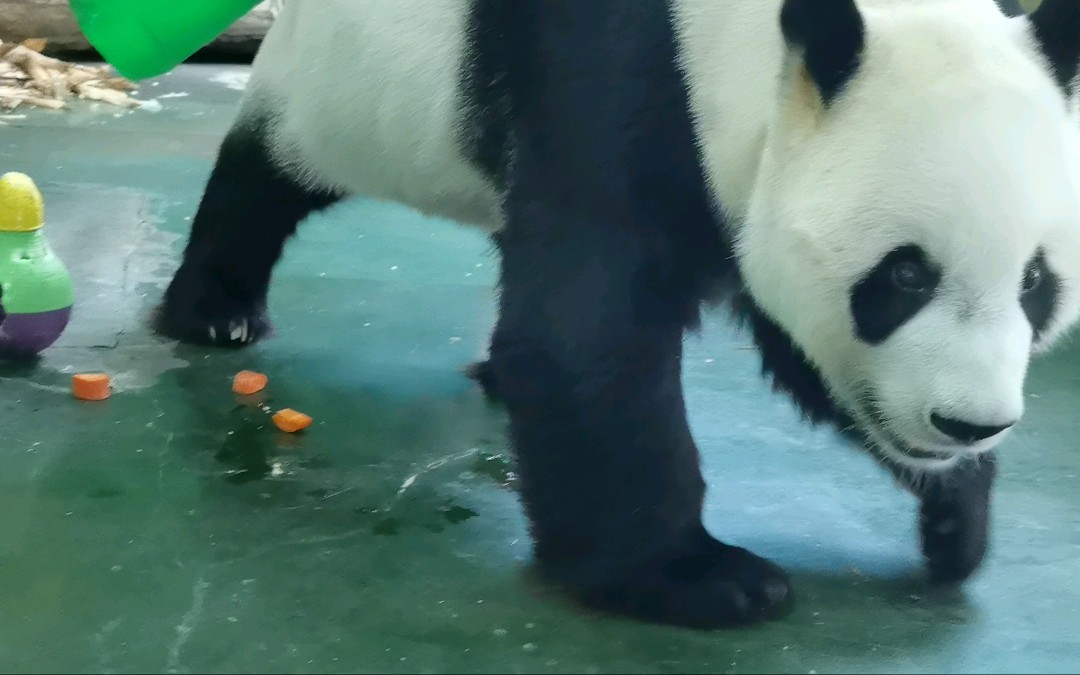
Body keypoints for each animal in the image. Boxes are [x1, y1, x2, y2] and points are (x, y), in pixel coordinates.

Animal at [156, 0, 1080, 630]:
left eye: (1036, 283)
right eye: (905, 274)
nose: (967, 422)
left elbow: (796, 348)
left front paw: (957, 516)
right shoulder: (620, 71)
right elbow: (584, 337)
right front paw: (702, 579)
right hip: (344, 88)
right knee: (268, 175)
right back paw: (214, 311)